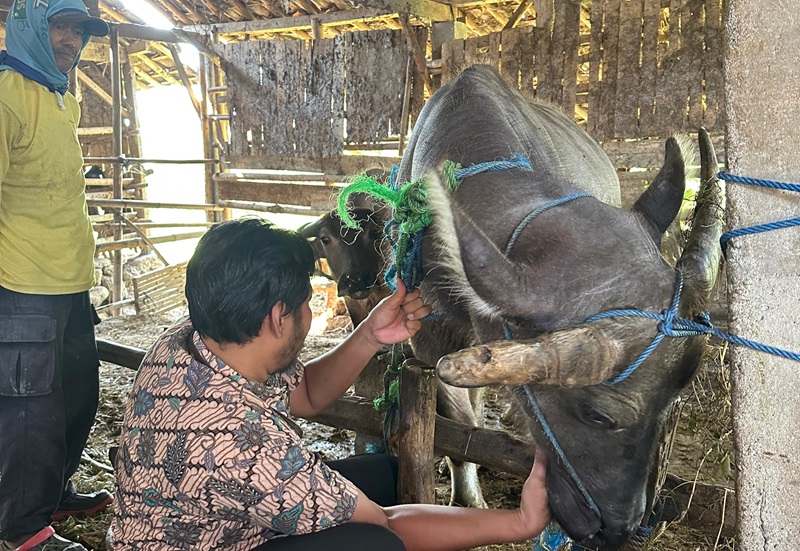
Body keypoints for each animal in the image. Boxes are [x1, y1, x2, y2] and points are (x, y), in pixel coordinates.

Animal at [390, 64, 724, 548]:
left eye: (672, 401)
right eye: (599, 416)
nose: (618, 528)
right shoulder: (430, 339)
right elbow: (457, 419)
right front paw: (466, 496)